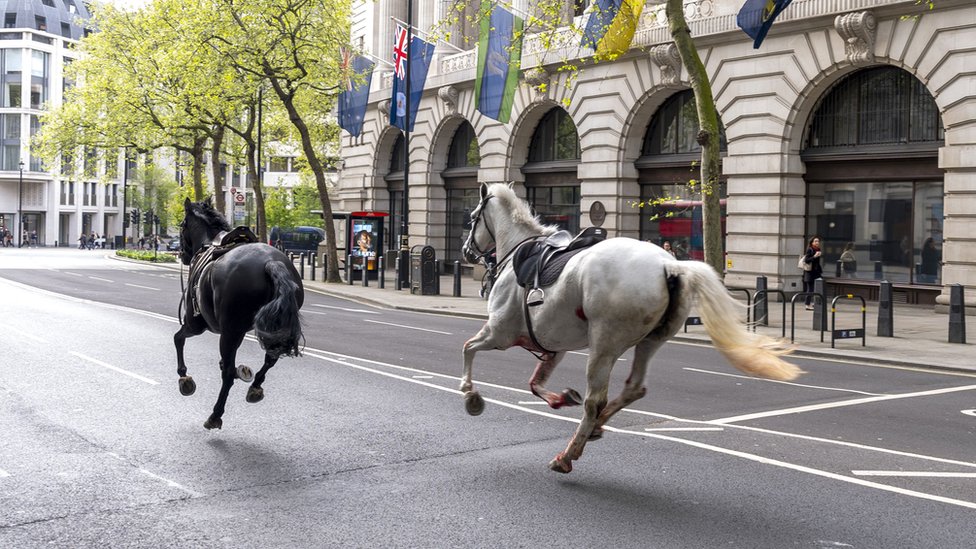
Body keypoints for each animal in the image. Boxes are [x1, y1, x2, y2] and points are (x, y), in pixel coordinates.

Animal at [176, 197, 304, 428]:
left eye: (182, 225)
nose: (181, 255)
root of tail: (271, 262)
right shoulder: (240, 330)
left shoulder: (195, 324)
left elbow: (178, 339)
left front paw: (184, 378)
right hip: (271, 328)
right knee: (270, 358)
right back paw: (255, 387)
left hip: (226, 332)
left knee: (227, 375)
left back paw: (215, 415)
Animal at [460, 183, 800, 470]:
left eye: (473, 218)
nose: (465, 252)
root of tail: (670, 264)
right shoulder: (552, 345)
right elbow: (535, 383)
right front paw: (560, 398)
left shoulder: (500, 333)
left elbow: (468, 348)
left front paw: (470, 395)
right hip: (650, 340)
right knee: (633, 388)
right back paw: (595, 427)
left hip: (604, 344)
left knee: (595, 400)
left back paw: (568, 454)